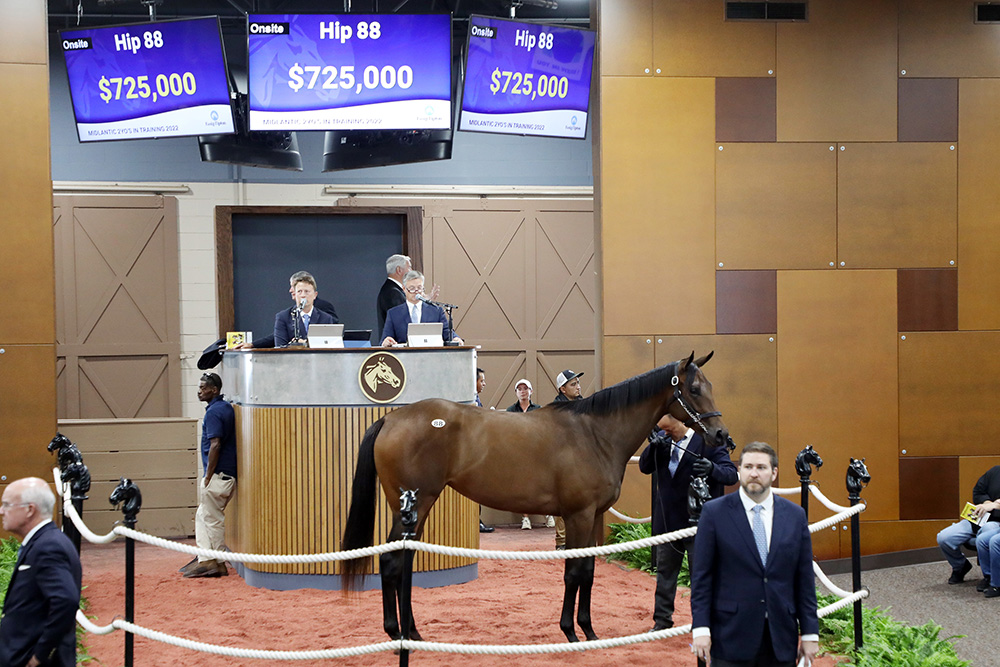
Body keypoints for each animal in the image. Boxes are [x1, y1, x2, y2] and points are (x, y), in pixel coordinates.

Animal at [342, 354, 728, 640]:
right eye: (694, 388)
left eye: (710, 385)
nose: (721, 435)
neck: (595, 433)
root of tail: (392, 418)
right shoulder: (578, 515)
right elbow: (573, 572)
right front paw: (569, 632)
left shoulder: (594, 516)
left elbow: (589, 571)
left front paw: (589, 632)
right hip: (414, 504)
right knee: (391, 562)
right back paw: (398, 633)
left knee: (402, 560)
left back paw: (409, 632)